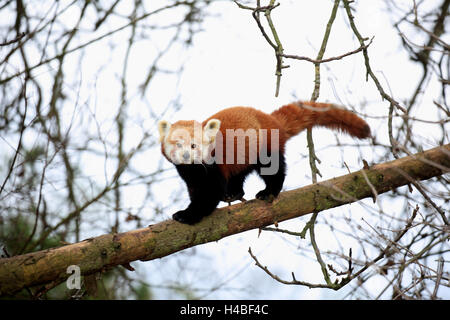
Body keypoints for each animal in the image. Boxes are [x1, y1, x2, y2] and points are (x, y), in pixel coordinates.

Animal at [157, 101, 370, 224]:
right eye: (178, 144)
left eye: (194, 145)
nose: (186, 155)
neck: (194, 170)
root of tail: (271, 119)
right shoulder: (191, 175)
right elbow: (196, 190)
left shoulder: (213, 167)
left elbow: (209, 195)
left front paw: (188, 215)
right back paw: (234, 193)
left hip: (265, 149)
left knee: (274, 171)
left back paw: (268, 192)